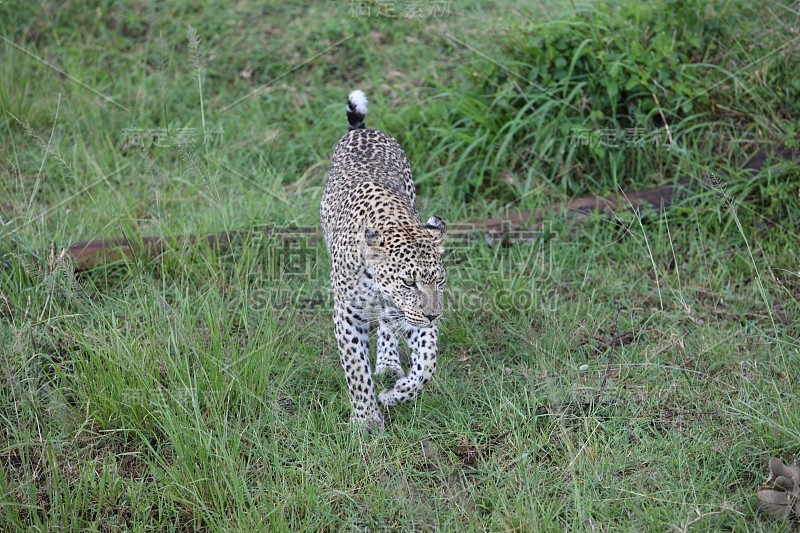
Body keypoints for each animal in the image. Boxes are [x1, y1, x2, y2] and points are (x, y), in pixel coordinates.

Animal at [320, 89, 446, 430]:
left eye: (440, 280)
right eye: (408, 282)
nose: (435, 315)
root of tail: (362, 131)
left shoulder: (414, 315)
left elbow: (427, 362)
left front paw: (396, 394)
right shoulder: (348, 313)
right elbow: (356, 369)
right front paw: (366, 419)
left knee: (390, 326)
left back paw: (389, 365)